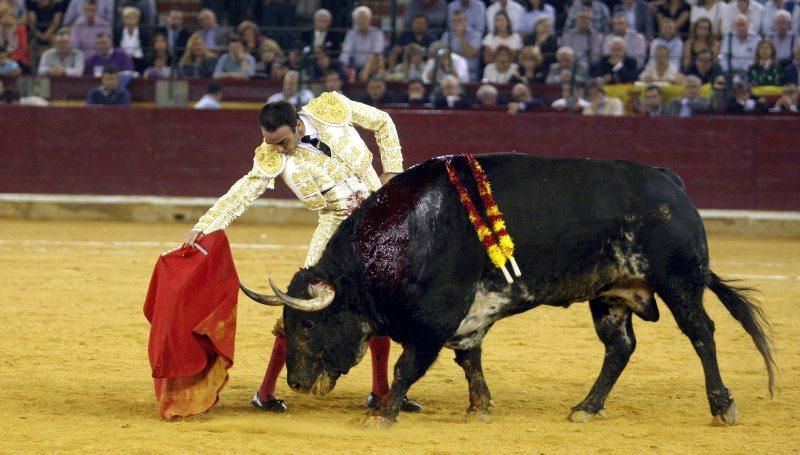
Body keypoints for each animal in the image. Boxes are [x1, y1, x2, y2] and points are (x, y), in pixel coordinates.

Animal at [241, 153, 772, 428]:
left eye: (310, 325)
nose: (297, 383)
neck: (408, 236)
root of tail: (669, 181)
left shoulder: (436, 318)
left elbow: (406, 365)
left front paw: (384, 414)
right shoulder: (468, 318)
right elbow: (470, 360)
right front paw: (479, 409)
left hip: (679, 281)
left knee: (701, 332)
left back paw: (722, 406)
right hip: (612, 294)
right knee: (620, 347)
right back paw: (586, 408)